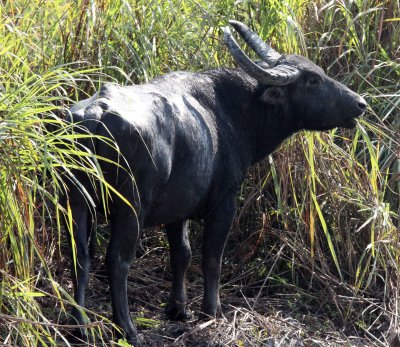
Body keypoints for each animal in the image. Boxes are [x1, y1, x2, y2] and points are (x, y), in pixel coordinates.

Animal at [65, 21, 366, 346]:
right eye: (312, 80)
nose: (360, 103)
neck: (232, 111)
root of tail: (94, 115)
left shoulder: (177, 208)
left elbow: (182, 253)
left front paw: (178, 309)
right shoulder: (225, 202)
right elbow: (212, 256)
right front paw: (211, 311)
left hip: (75, 201)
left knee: (80, 257)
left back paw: (79, 326)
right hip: (130, 206)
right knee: (118, 260)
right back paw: (128, 329)